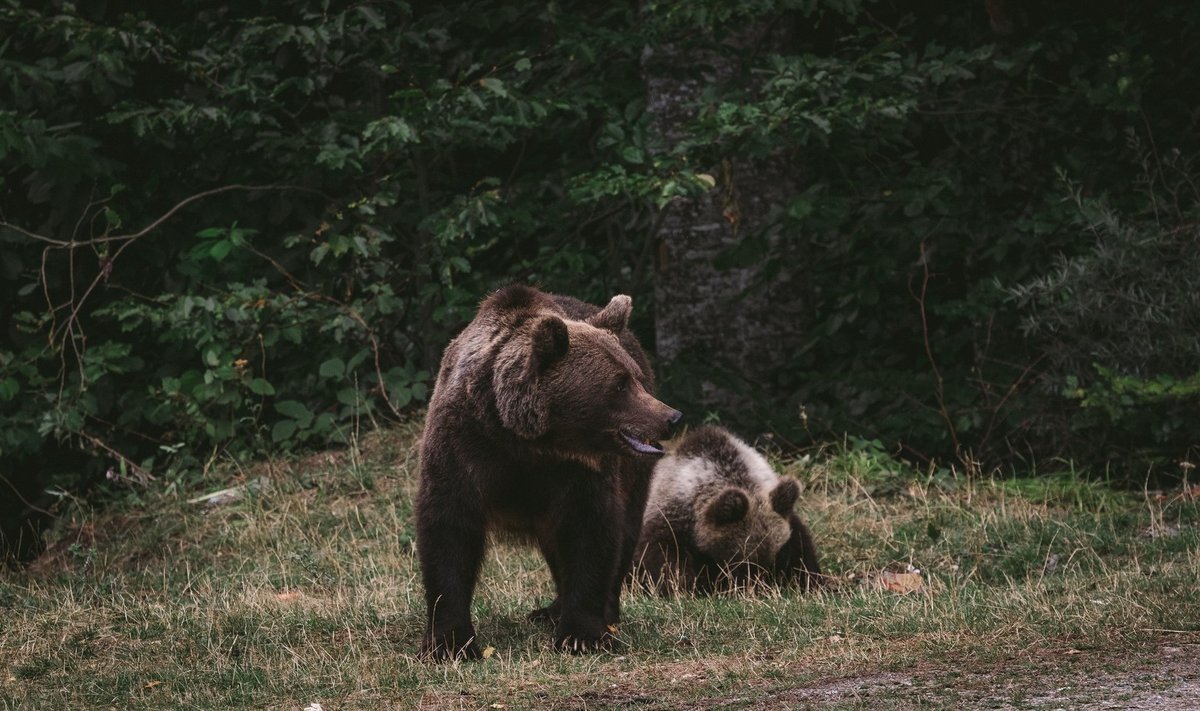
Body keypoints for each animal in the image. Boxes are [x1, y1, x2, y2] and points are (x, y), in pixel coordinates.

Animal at [415, 284, 681, 662]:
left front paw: (583, 634)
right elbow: (448, 531)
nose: (671, 417)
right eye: (619, 384)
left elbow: (590, 532)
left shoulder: (577, 471)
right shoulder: (463, 448)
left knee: (625, 529)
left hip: (633, 475)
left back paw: (598, 610)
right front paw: (449, 643)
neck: (525, 440)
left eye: (636, 379)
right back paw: (551, 610)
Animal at [633, 427, 820, 593]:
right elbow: (665, 556)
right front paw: (684, 587)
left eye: (777, 555)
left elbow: (802, 552)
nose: (761, 587)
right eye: (743, 562)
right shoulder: (671, 516)